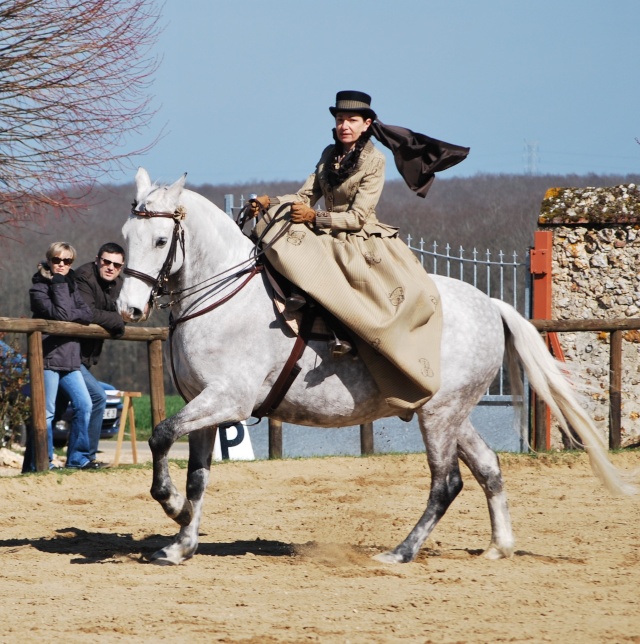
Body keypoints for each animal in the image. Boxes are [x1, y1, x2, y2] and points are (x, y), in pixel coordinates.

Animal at [116, 169, 636, 568]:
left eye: (160, 240)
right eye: (125, 237)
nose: (129, 308)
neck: (221, 298)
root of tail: (491, 304)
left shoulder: (227, 401)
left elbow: (161, 436)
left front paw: (171, 506)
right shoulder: (204, 405)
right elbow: (197, 476)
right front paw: (180, 542)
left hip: (438, 416)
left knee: (446, 483)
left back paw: (400, 553)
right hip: (451, 413)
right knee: (488, 468)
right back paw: (498, 547)